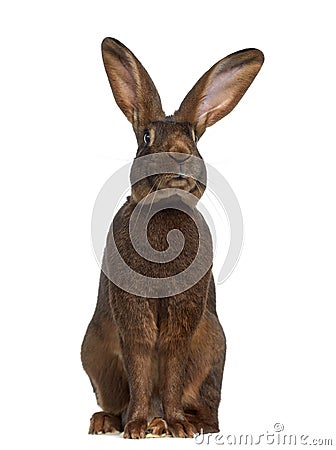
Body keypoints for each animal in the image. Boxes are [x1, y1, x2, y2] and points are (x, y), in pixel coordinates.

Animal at [80, 38, 262, 440]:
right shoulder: (132, 311)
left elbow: (173, 359)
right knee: (116, 398)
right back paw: (113, 422)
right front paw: (135, 428)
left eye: (192, 137)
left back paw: (181, 423)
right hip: (95, 353)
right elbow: (140, 358)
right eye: (147, 138)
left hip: (213, 348)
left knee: (207, 407)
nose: (178, 156)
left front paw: (178, 426)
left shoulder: (184, 314)